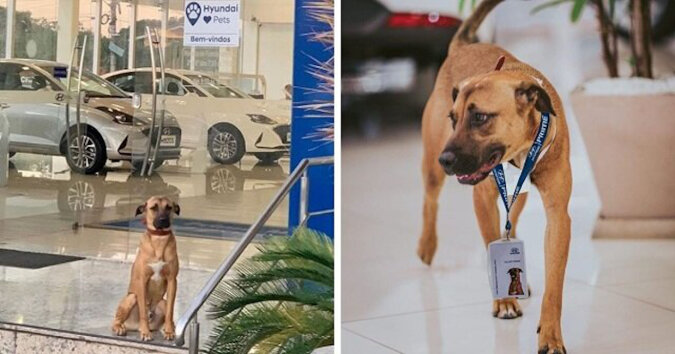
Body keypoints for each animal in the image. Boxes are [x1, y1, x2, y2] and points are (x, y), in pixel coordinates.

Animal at [113, 195, 182, 342]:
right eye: (153, 208)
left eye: (169, 207)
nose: (163, 220)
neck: (159, 239)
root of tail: (133, 326)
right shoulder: (142, 280)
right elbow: (144, 312)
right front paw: (145, 333)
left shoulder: (172, 280)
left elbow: (170, 311)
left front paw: (169, 331)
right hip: (131, 298)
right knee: (116, 320)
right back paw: (121, 328)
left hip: (162, 302)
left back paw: (166, 328)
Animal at [418, 1, 572, 352]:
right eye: (454, 118)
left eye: (480, 117)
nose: (446, 159)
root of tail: (462, 46)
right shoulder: (482, 199)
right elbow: (491, 242)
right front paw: (503, 303)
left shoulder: (558, 216)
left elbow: (555, 285)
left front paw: (551, 334)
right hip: (432, 167)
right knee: (430, 200)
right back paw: (427, 245)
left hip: (520, 195)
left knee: (512, 220)